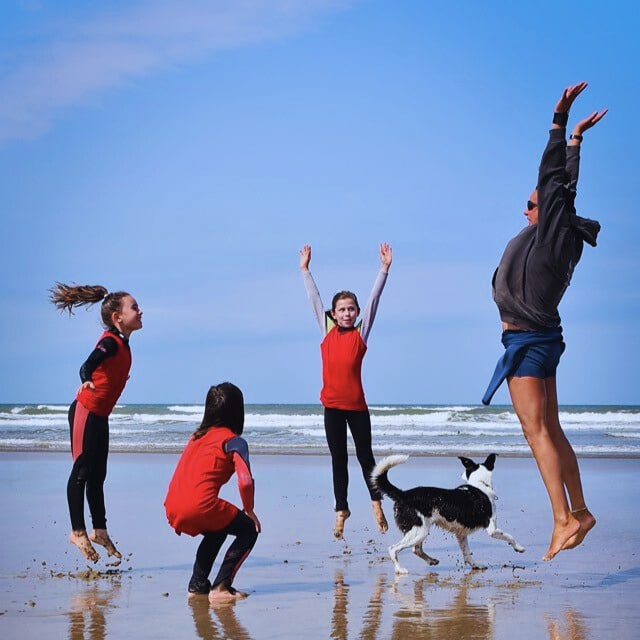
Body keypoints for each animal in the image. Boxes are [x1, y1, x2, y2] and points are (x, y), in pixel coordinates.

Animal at [370, 452, 524, 572]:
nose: (461, 473)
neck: (480, 485)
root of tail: (403, 494)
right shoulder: (492, 529)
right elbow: (510, 537)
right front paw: (519, 548)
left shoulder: (461, 534)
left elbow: (467, 553)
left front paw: (475, 565)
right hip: (419, 531)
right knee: (393, 548)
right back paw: (400, 569)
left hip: (419, 530)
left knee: (416, 549)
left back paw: (431, 560)